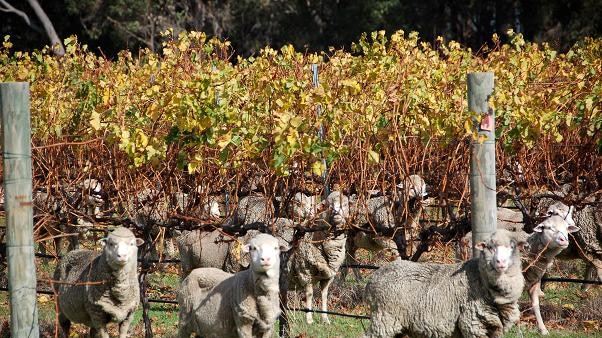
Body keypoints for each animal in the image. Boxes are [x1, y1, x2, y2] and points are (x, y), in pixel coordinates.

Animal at [284, 190, 350, 324]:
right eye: (329, 205)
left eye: (345, 205)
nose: (336, 214)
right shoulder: (305, 273)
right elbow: (309, 295)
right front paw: (309, 319)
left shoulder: (328, 277)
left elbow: (324, 296)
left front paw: (325, 319)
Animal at [360, 230, 524, 338]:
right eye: (489, 247)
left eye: (512, 247)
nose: (500, 262)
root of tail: (374, 278)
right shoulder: (472, 324)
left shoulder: (494, 329)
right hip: (385, 319)